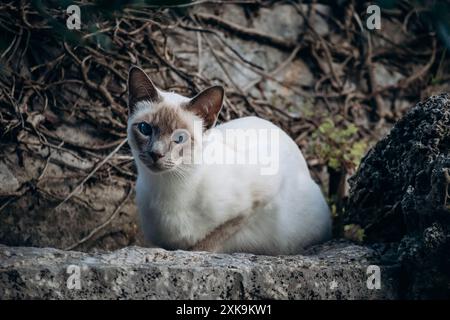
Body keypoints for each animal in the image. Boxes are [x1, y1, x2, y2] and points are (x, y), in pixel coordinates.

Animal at [126, 67, 330, 255]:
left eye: (180, 138)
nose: (156, 153)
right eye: (145, 129)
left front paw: (197, 250)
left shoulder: (258, 200)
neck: (166, 187)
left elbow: (211, 240)